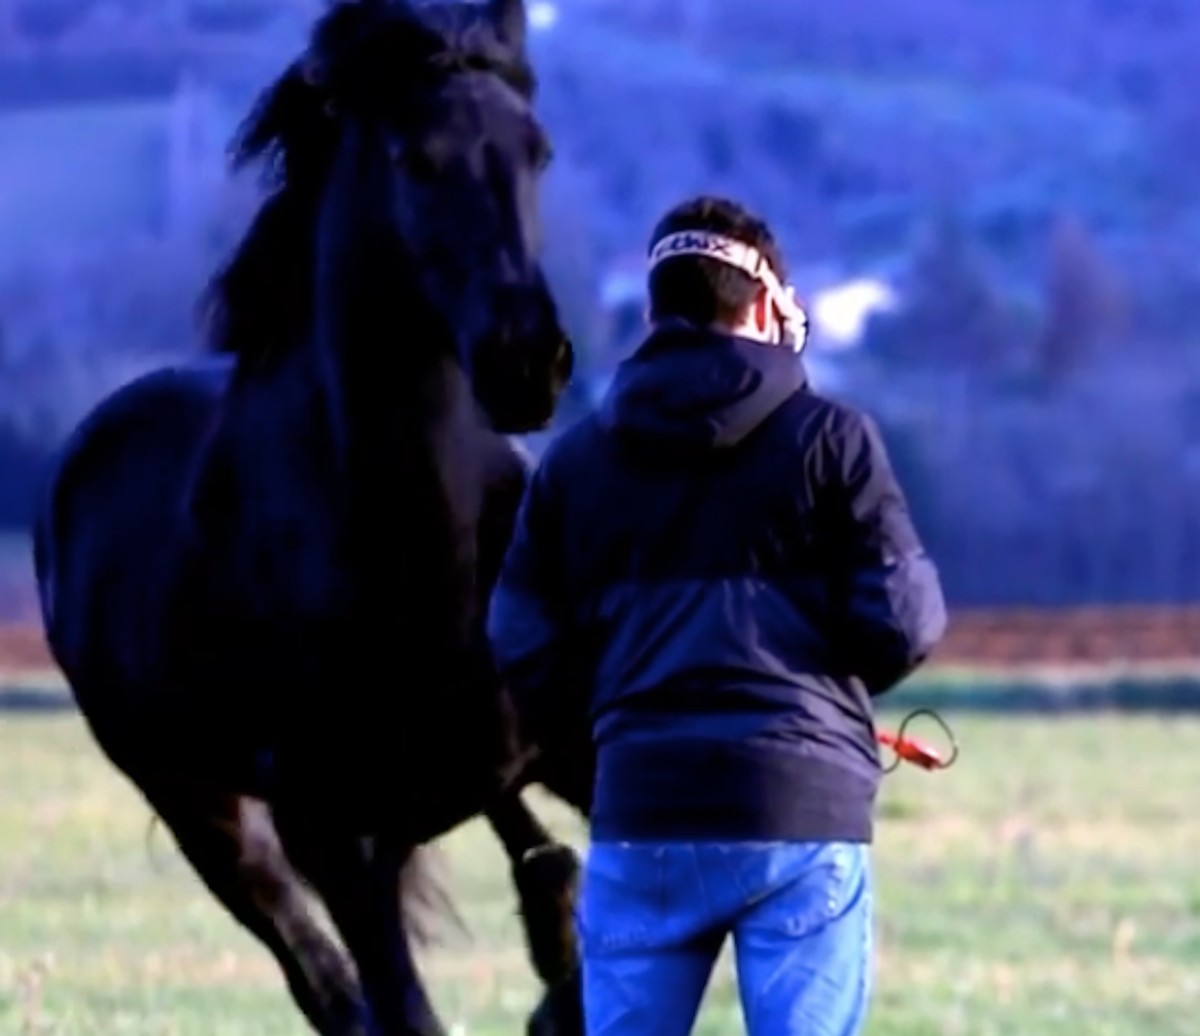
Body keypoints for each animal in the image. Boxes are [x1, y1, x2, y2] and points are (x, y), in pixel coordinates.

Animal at [37, 0, 595, 1032]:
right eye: (416, 158)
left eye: (537, 151)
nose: (527, 362)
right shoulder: (331, 832)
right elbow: (396, 1004)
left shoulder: (570, 742)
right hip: (208, 811)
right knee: (328, 983)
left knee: (532, 860)